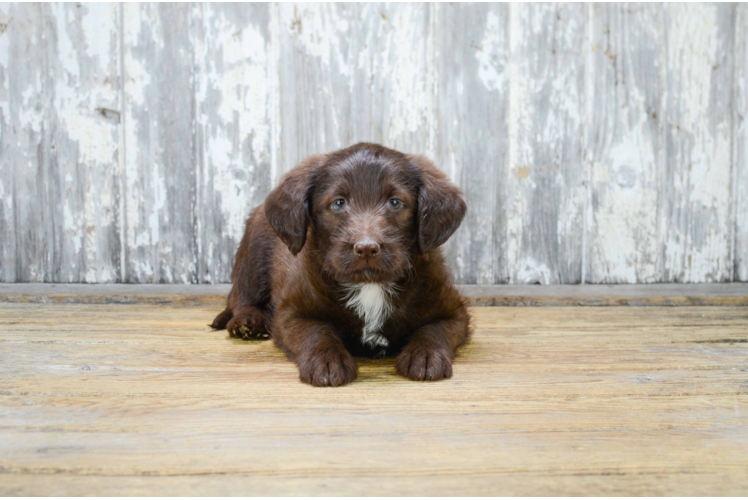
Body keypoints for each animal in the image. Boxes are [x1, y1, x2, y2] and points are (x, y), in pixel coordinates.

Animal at [210, 143, 468, 384]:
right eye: (339, 203)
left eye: (395, 202)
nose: (366, 248)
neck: (370, 285)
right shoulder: (291, 314)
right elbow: (317, 331)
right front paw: (326, 360)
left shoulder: (453, 311)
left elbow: (433, 329)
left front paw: (426, 356)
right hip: (254, 250)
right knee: (241, 296)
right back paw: (248, 322)